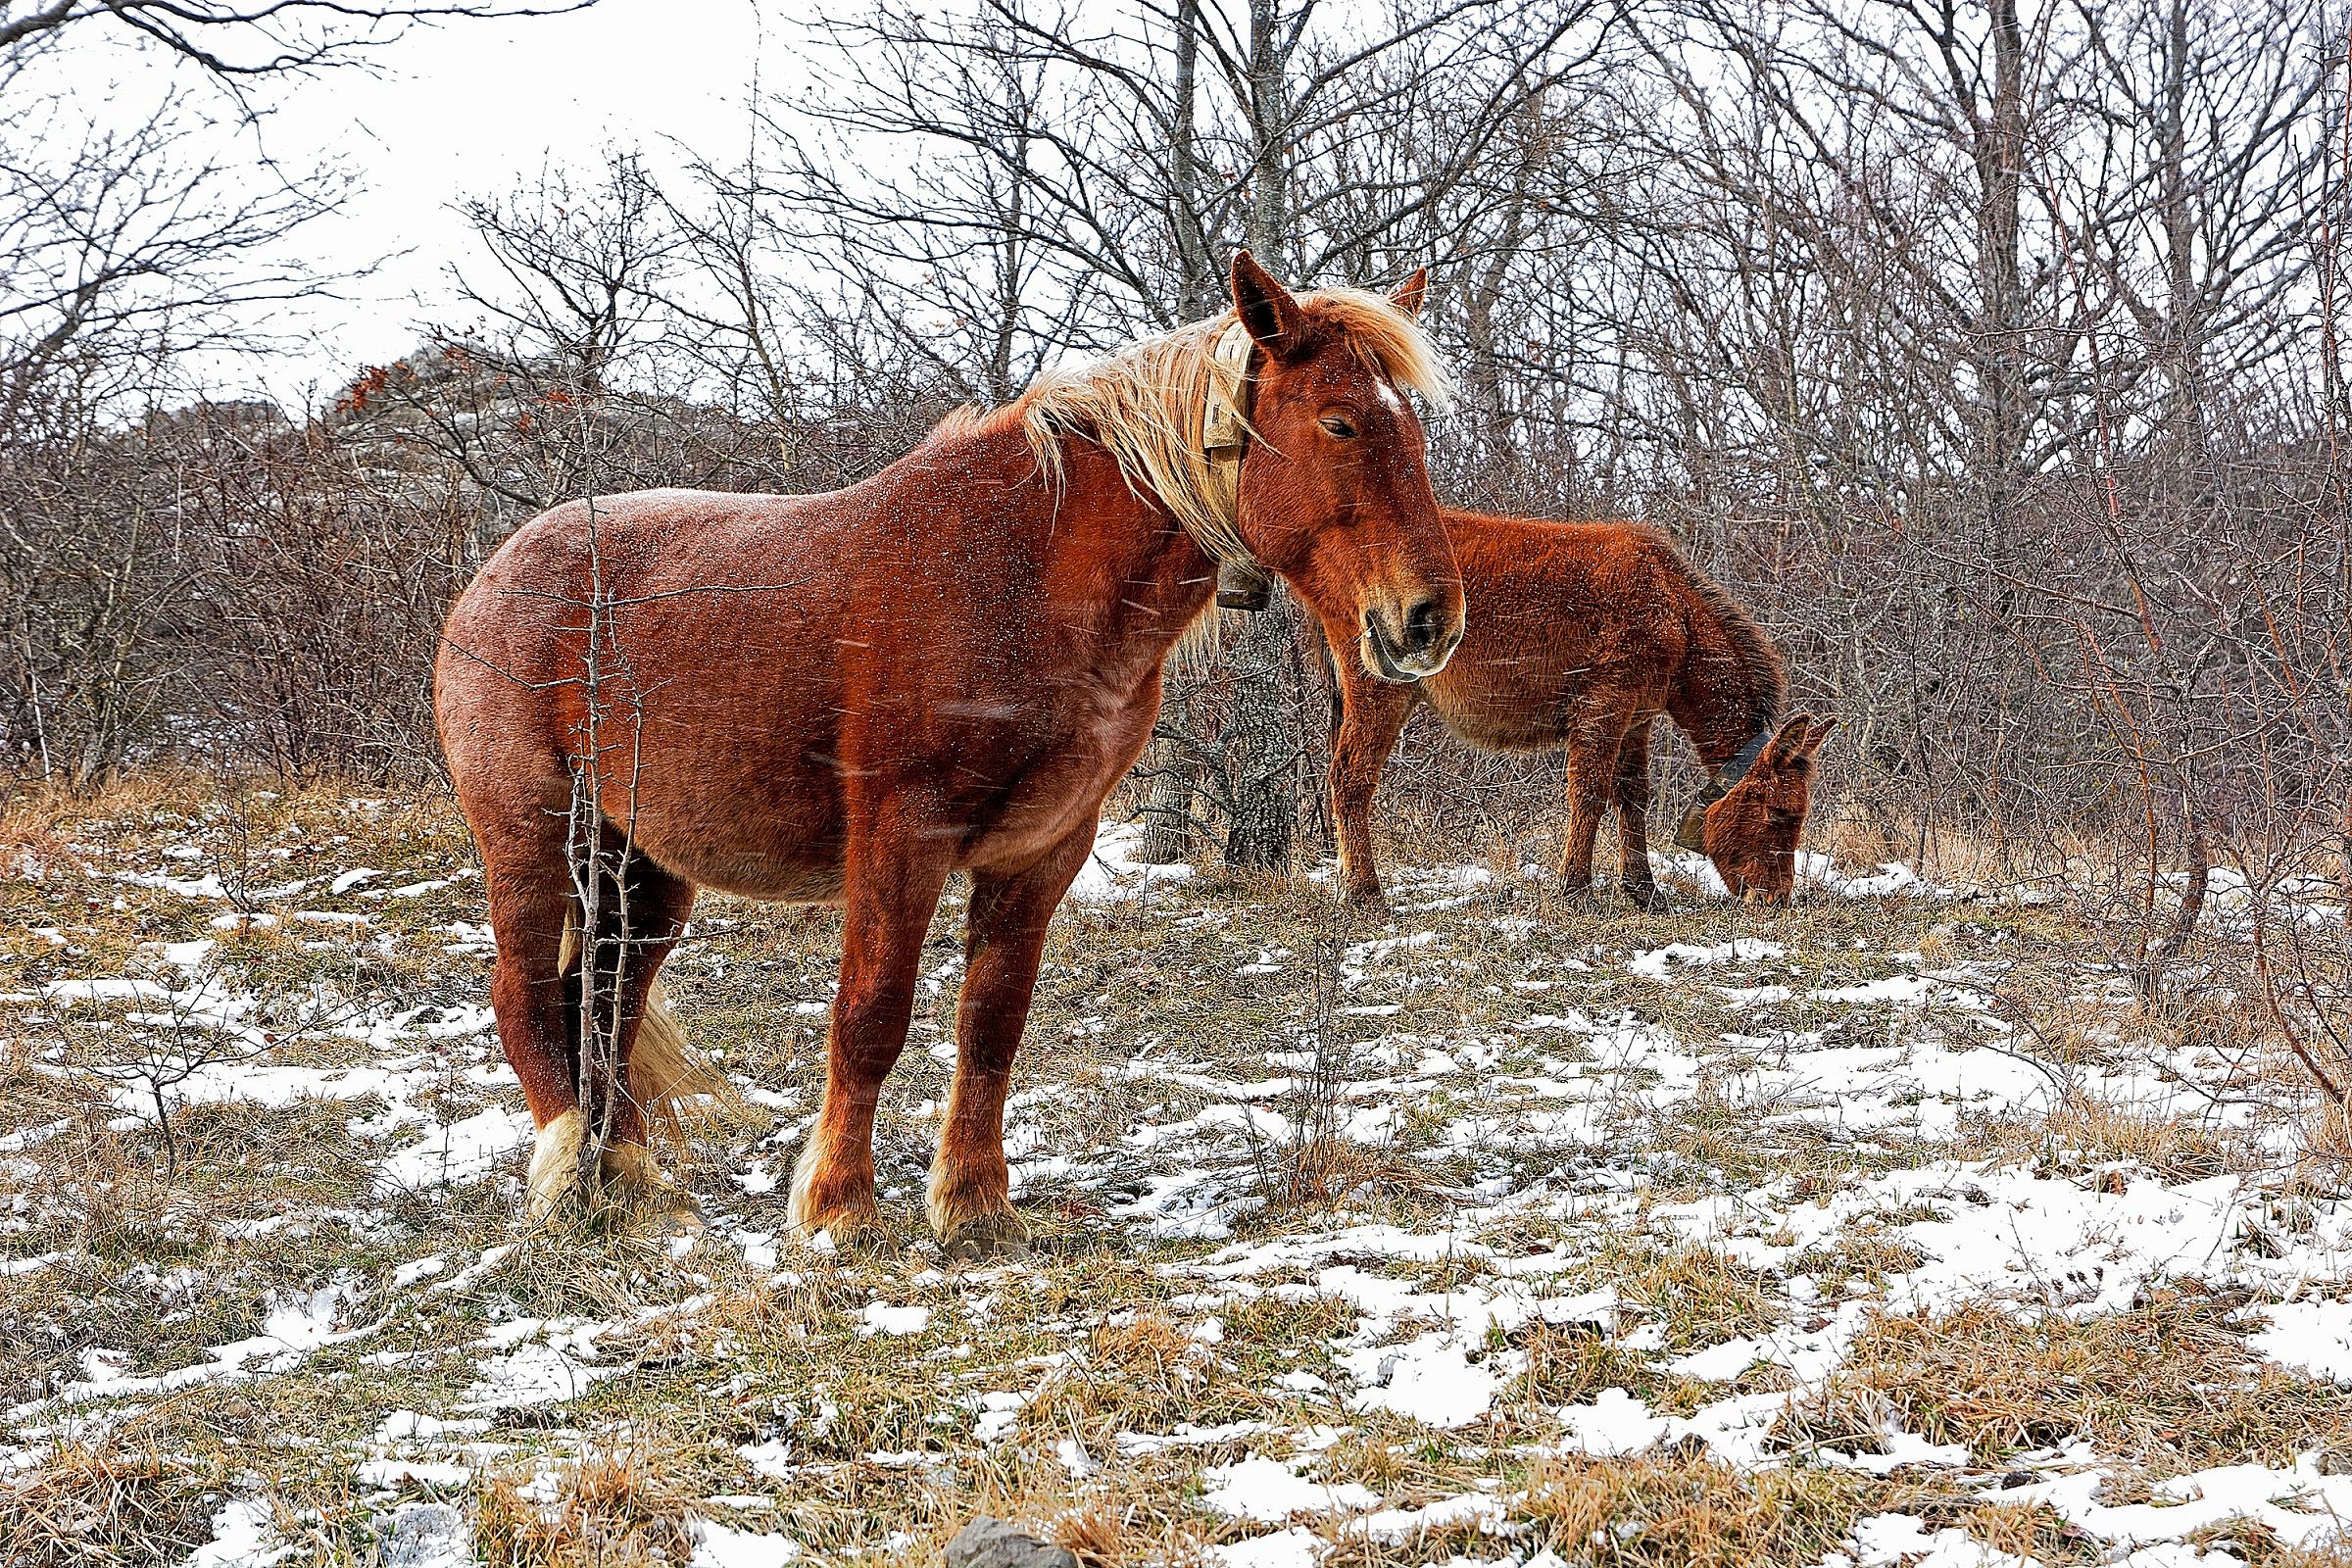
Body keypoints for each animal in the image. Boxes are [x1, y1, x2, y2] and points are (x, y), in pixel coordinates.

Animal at [434, 254, 1464, 1257]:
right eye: (1338, 422)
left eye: (1413, 431)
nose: (1430, 620)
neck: (1022, 576)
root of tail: (492, 578)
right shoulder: (903, 842)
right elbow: (872, 1018)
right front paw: (840, 1208)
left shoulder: (1043, 850)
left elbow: (991, 1023)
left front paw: (973, 1205)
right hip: (531, 840)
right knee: (527, 998)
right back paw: (566, 1180)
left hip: (643, 868)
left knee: (604, 1002)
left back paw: (631, 1184)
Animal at [1322, 511, 1833, 908]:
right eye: (1780, 814)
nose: (1776, 898)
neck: (1676, 612)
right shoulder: (1605, 705)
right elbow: (1590, 792)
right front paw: (1575, 888)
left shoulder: (1637, 719)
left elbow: (1632, 797)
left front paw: (1643, 890)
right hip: (1380, 692)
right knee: (1350, 777)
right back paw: (1363, 891)